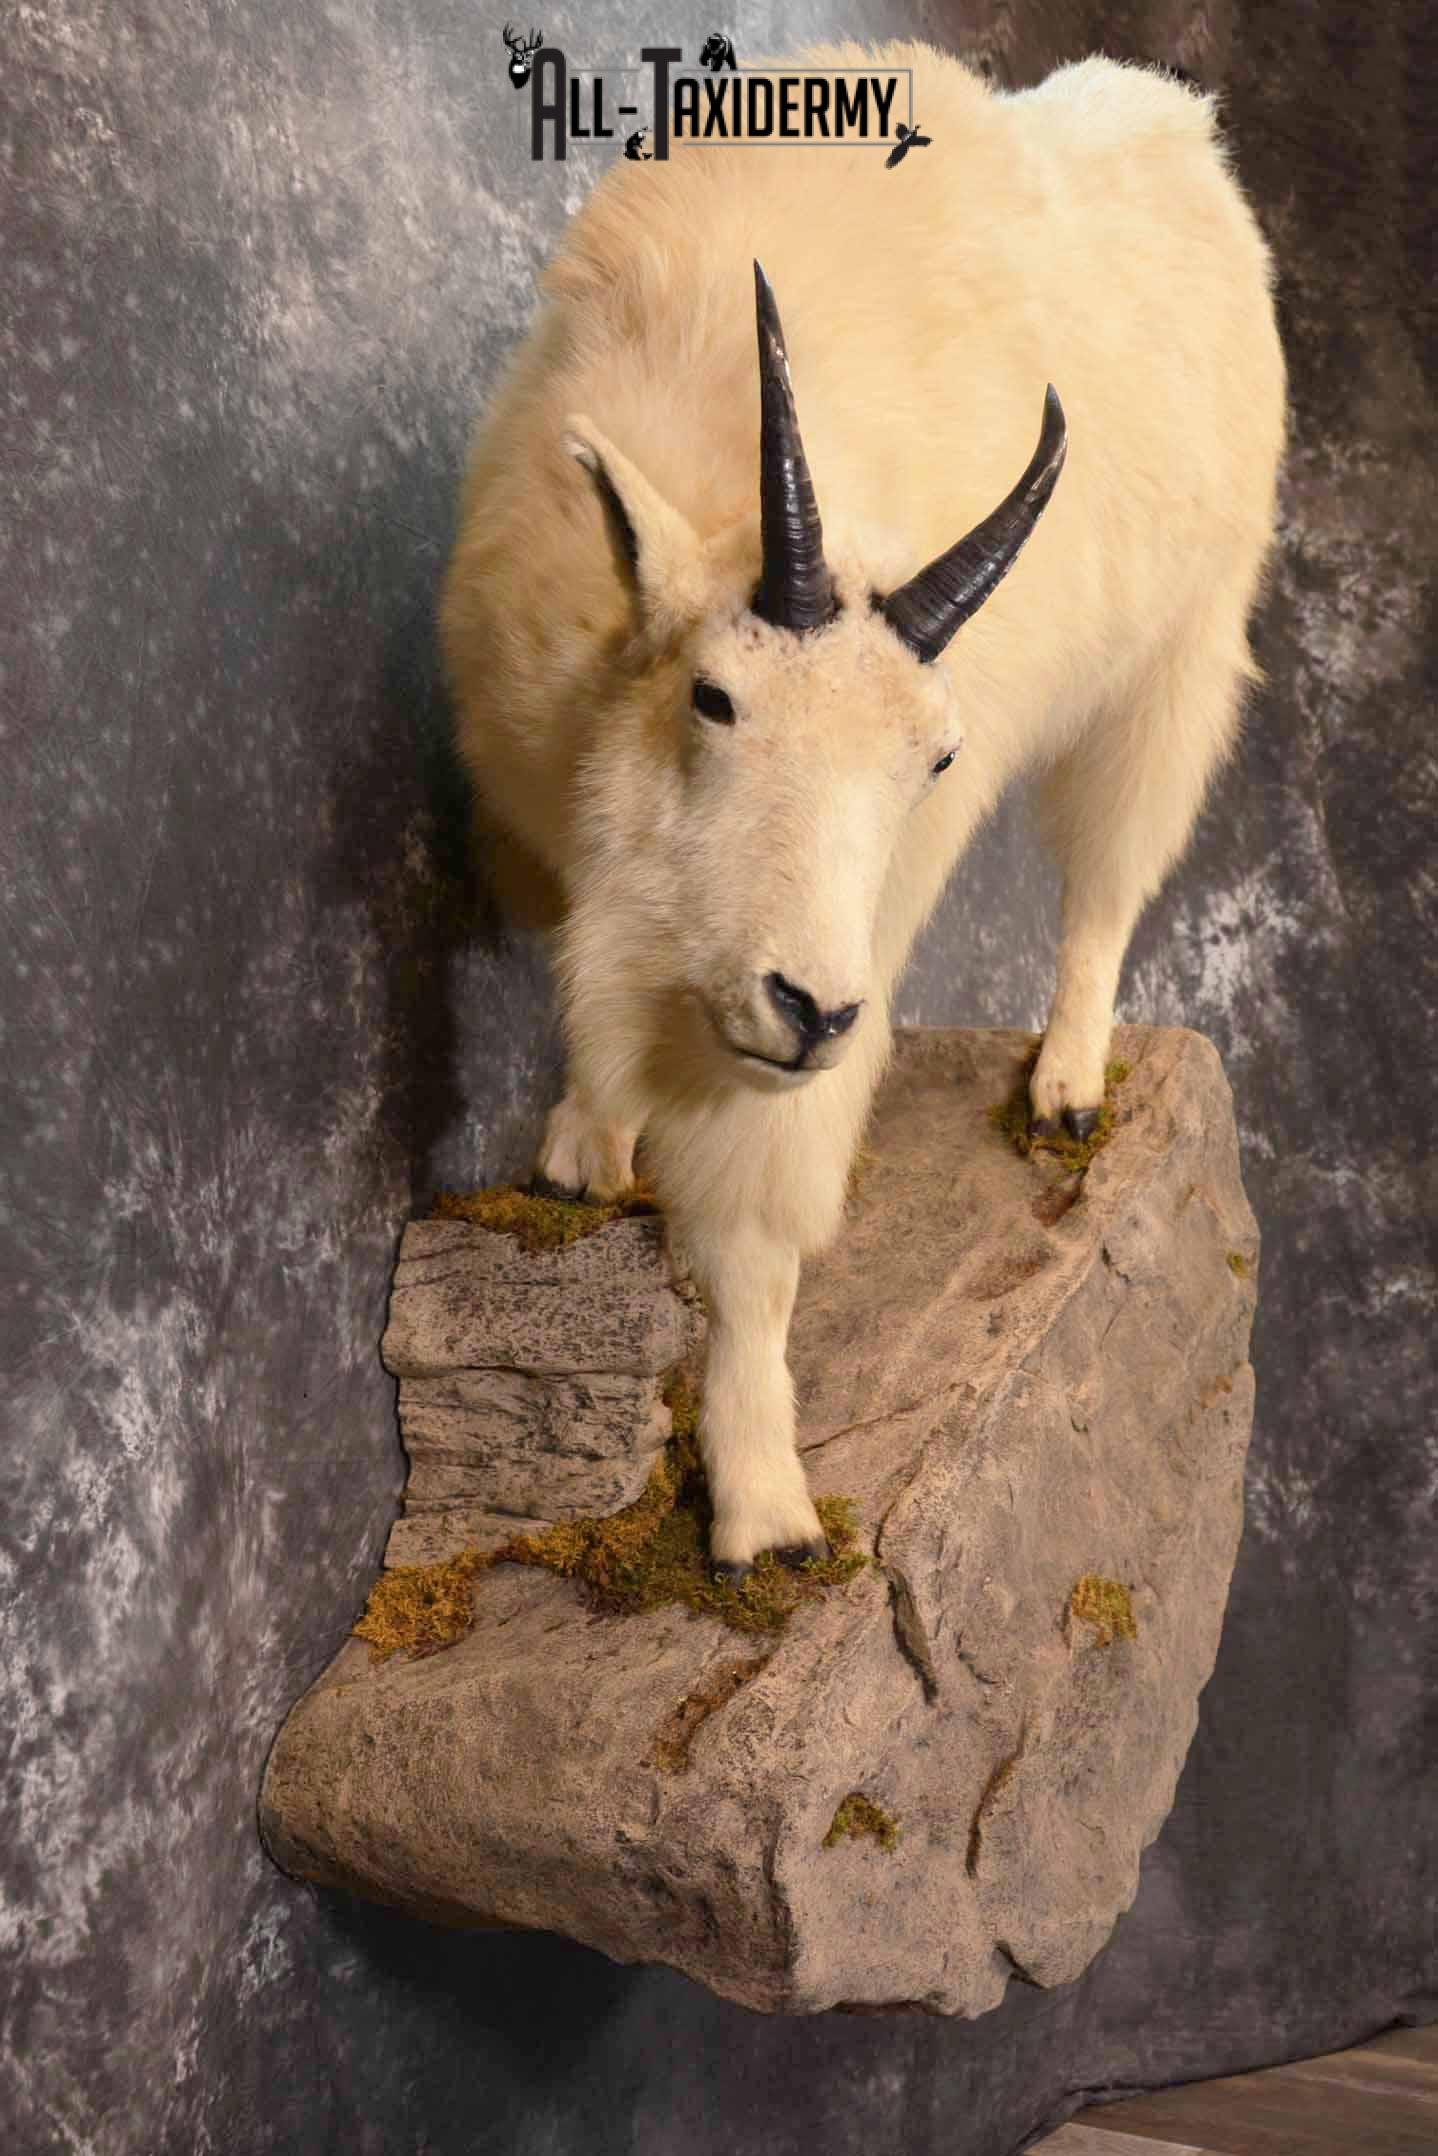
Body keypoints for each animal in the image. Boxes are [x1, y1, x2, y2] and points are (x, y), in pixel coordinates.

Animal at [439, 41, 1286, 1576]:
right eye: (714, 698)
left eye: (933, 761)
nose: (808, 1009)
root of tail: (1179, 127)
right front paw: (588, 1143)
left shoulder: (851, 954)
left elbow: (757, 1228)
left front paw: (763, 1505)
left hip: (1179, 655)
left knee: (1110, 875)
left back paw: (1068, 1083)